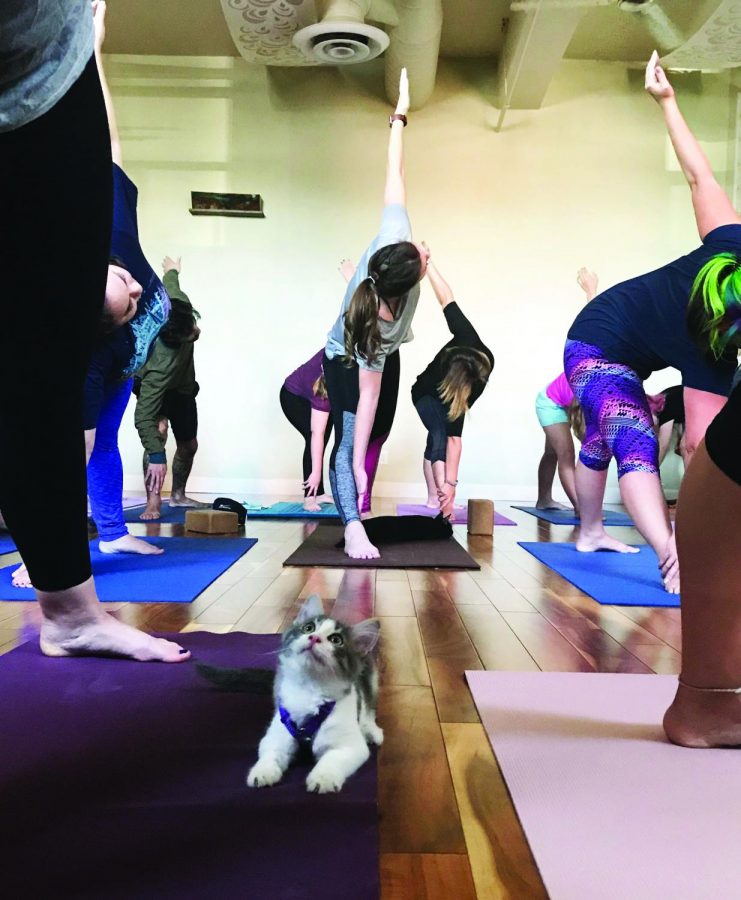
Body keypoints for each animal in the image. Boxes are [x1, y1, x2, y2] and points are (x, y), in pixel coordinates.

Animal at [249, 596, 384, 796]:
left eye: (336, 639)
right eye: (308, 628)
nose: (314, 638)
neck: (309, 688)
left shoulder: (351, 744)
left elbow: (333, 757)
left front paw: (324, 777)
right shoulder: (277, 730)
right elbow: (271, 751)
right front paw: (263, 770)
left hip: (371, 677)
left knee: (369, 709)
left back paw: (372, 731)